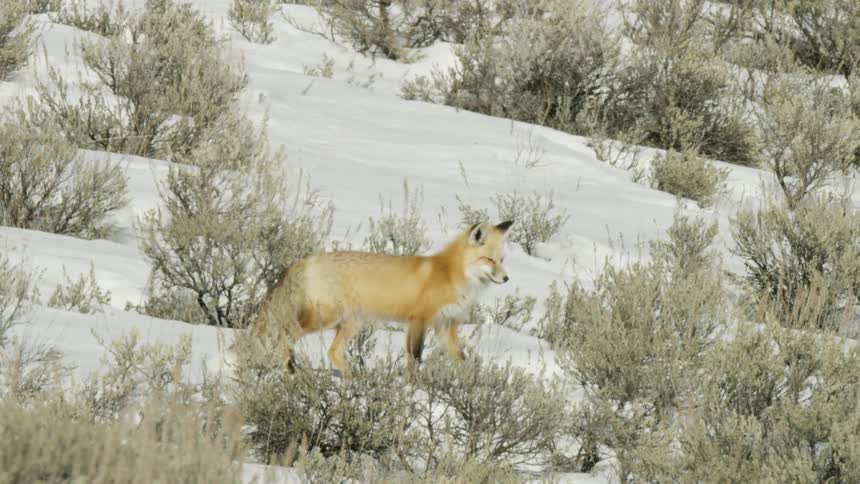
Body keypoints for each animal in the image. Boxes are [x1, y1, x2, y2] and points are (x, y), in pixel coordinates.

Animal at [228, 220, 514, 377]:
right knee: (284, 337)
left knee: (332, 352)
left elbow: (461, 359)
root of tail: (304, 260)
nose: (506, 278)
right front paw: (413, 389)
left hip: (351, 323)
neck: (451, 274)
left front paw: (473, 386)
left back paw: (354, 380)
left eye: (502, 259)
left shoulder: (446, 325)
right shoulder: (419, 320)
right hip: (325, 319)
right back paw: (293, 372)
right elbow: (415, 358)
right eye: (489, 260)